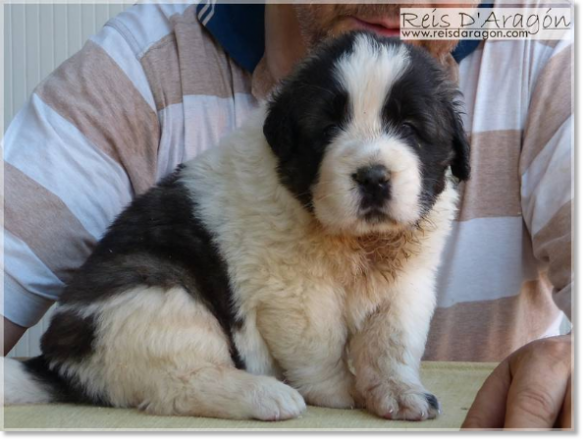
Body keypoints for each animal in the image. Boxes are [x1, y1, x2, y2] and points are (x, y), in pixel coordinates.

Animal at [4, 33, 470, 422]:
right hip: (157, 297)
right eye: (327, 130)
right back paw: (267, 395)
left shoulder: (405, 284)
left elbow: (392, 340)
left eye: (409, 128)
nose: (373, 177)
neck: (357, 243)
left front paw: (400, 392)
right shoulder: (295, 294)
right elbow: (318, 345)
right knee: (179, 382)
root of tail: (60, 362)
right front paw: (340, 391)